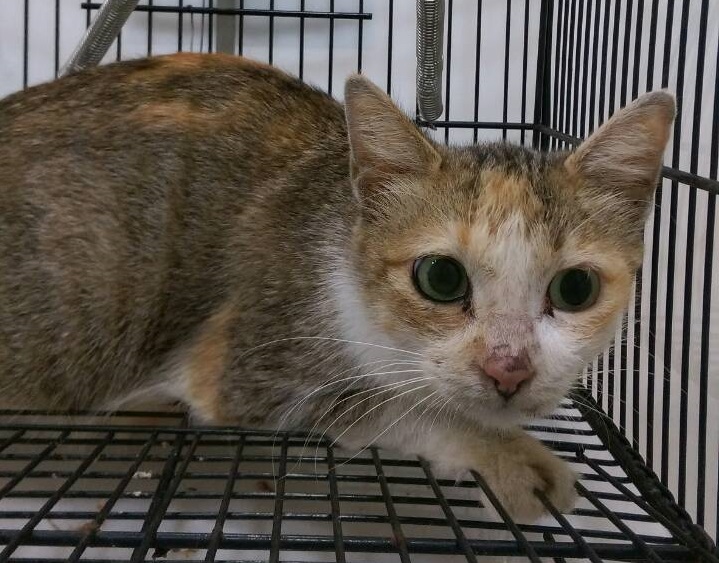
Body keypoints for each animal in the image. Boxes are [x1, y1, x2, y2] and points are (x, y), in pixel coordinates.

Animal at [0, 53, 674, 521]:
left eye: (575, 289)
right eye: (441, 278)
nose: (508, 368)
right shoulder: (250, 363)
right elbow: (398, 405)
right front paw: (508, 454)